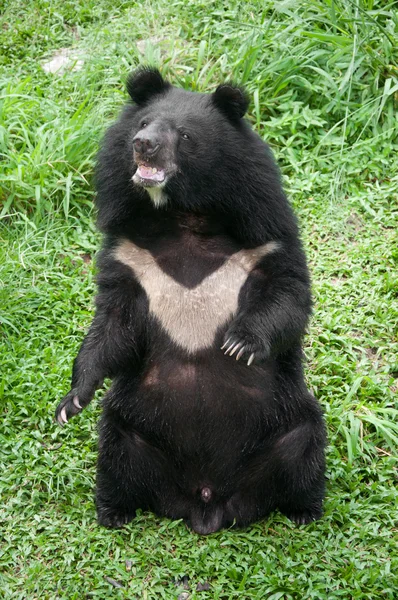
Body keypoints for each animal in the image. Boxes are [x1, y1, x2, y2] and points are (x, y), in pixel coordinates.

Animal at [56, 67, 324, 536]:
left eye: (183, 135)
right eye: (144, 123)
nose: (142, 144)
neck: (183, 215)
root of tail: (207, 503)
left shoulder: (265, 234)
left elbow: (287, 294)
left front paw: (240, 343)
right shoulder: (128, 252)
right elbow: (113, 325)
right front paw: (71, 402)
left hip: (286, 419)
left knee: (306, 445)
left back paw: (303, 510)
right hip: (134, 427)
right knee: (115, 452)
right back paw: (113, 511)